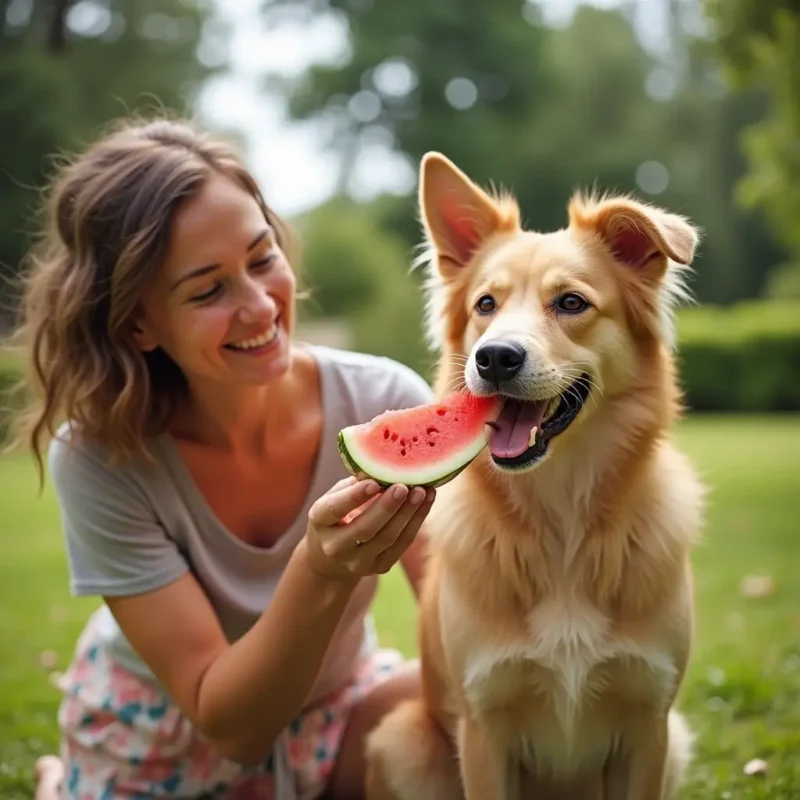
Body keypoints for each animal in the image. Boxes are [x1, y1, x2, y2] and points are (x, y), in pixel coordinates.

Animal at [366, 152, 704, 800]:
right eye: (485, 305)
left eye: (571, 303)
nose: (494, 358)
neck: (563, 514)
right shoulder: (483, 730)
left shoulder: (649, 726)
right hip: (400, 742)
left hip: (676, 739)